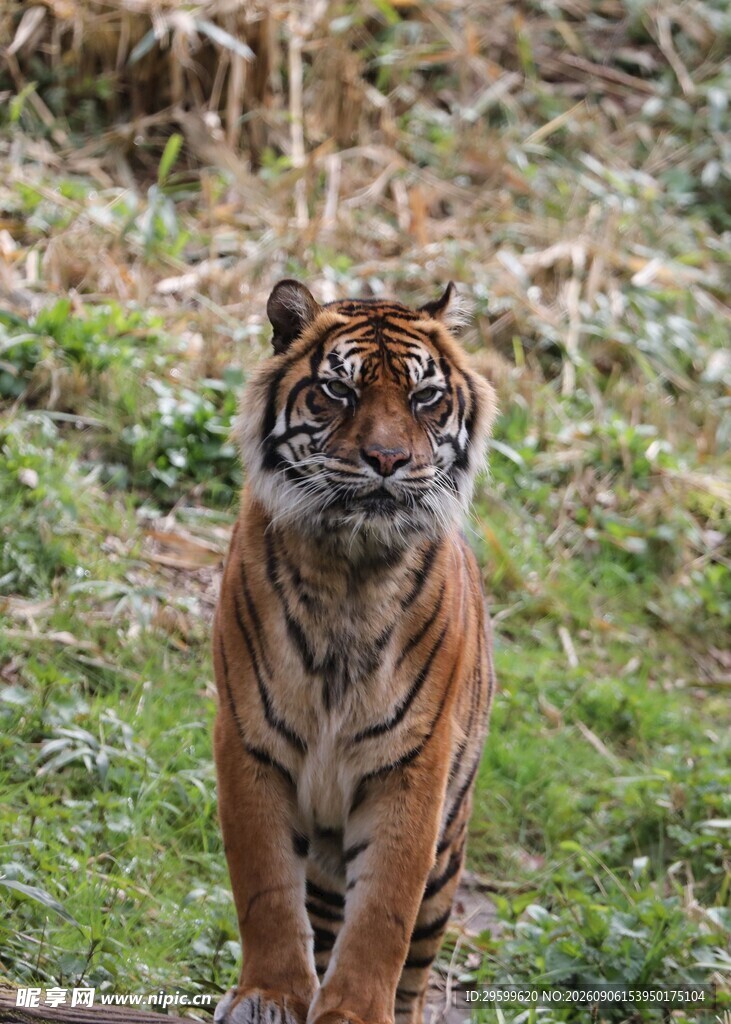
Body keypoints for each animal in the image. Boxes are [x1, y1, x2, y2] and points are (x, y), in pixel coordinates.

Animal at [212, 279, 498, 1024]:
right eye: (338, 391)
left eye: (426, 397)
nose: (388, 461)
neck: (349, 569)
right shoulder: (250, 742)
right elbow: (265, 889)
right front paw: (269, 994)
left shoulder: (413, 763)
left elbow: (383, 916)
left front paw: (353, 1012)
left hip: (448, 854)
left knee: (414, 964)